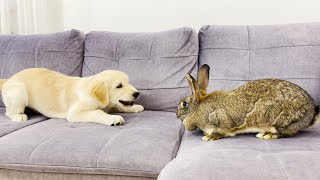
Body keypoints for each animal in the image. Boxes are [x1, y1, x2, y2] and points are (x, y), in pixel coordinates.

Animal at [0, 68, 144, 126]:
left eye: (128, 82)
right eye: (119, 86)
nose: (137, 93)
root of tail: (8, 79)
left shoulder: (110, 105)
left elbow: (118, 106)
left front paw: (135, 107)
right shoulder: (75, 113)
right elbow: (97, 112)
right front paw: (113, 119)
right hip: (19, 92)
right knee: (9, 112)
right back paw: (18, 116)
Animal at [176, 64, 318, 141]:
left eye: (184, 104)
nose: (176, 115)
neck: (197, 107)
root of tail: (311, 113)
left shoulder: (220, 123)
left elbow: (221, 132)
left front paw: (208, 137)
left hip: (281, 121)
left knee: (287, 133)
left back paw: (267, 135)